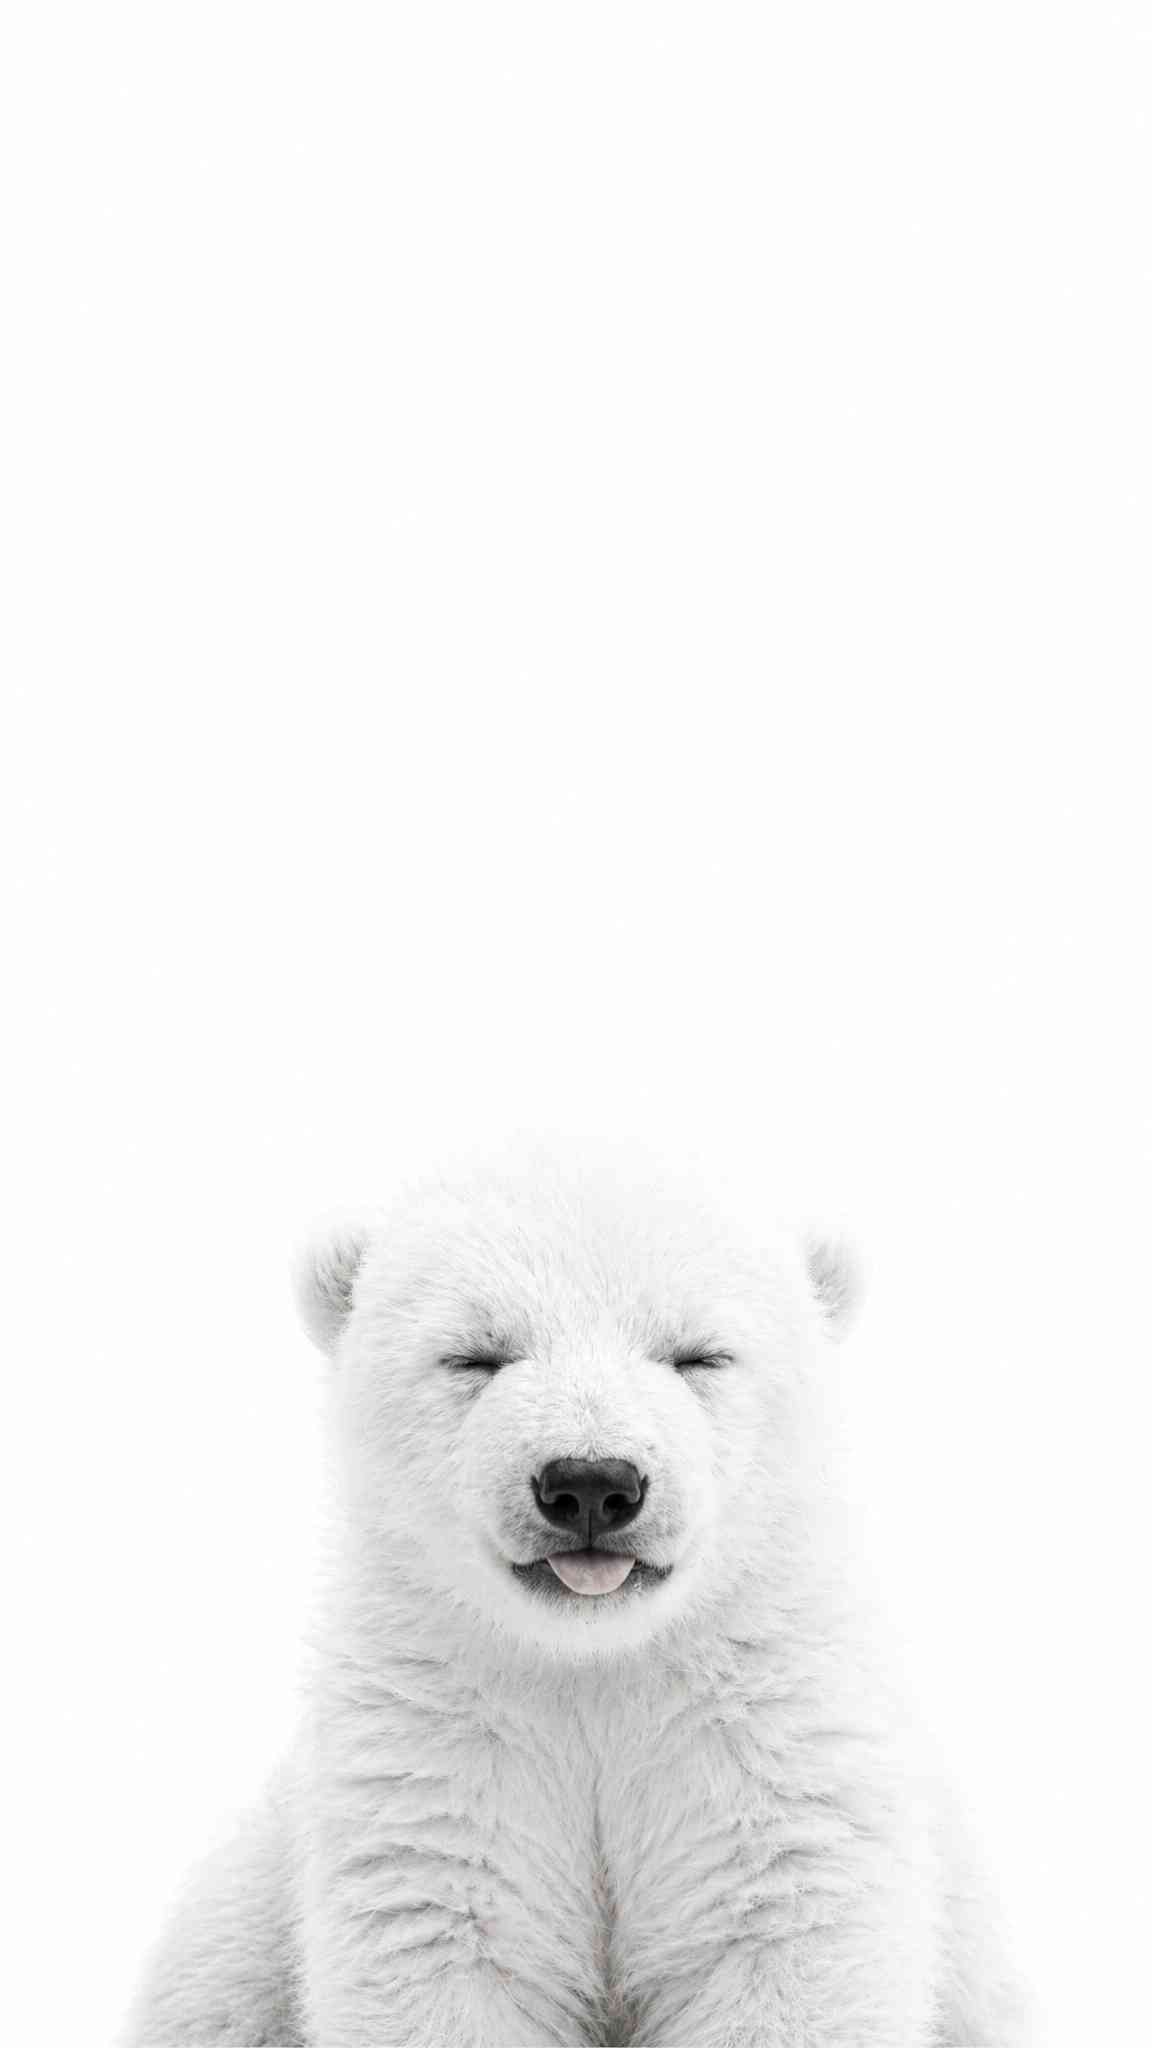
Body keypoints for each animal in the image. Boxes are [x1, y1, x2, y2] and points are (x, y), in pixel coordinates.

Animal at [122, 1146, 1027, 2047]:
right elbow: (447, 1935)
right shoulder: (437, 1739)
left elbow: (780, 1928)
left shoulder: (766, 1737)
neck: (595, 1661)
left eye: (699, 1355)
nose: (591, 1483)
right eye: (475, 1355)